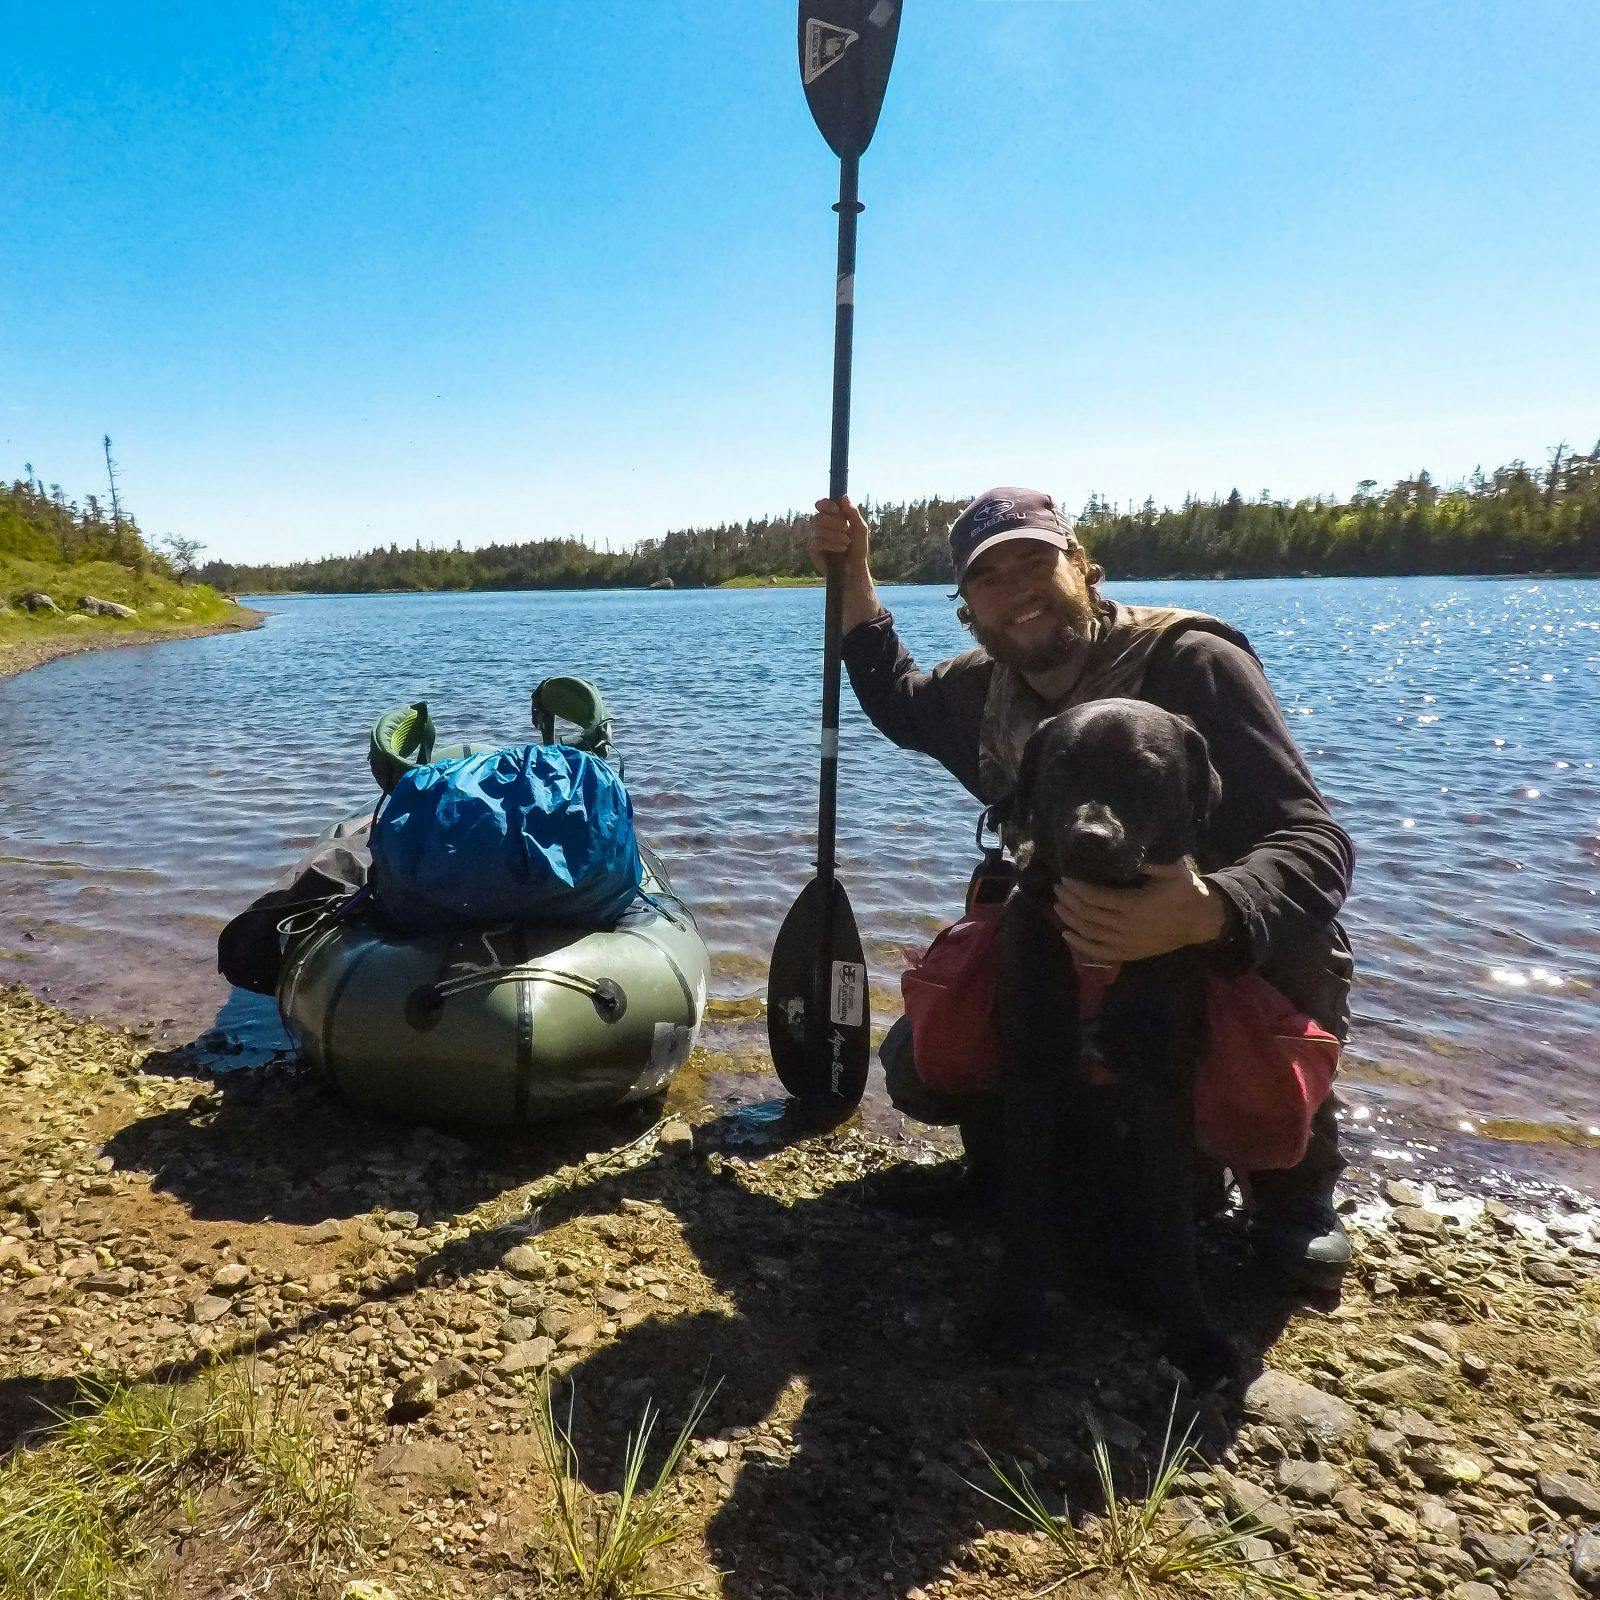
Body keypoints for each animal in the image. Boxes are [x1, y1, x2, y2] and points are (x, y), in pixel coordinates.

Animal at [985, 697, 1235, 1388]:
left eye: (1145, 772)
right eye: (1063, 766)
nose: (1090, 841)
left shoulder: (1166, 1085)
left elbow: (1172, 1228)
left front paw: (1195, 1332)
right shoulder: (1030, 1068)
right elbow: (1021, 1201)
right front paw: (1013, 1314)